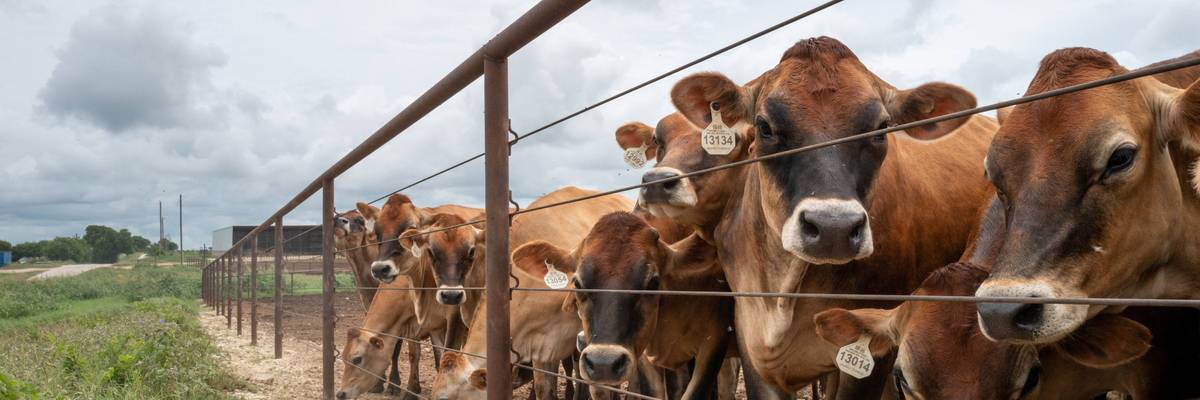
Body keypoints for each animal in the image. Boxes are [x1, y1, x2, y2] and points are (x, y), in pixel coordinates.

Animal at [666, 36, 996, 397]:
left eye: (881, 129)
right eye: (764, 127)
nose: (833, 228)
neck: (782, 296)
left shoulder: (870, 357)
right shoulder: (751, 346)